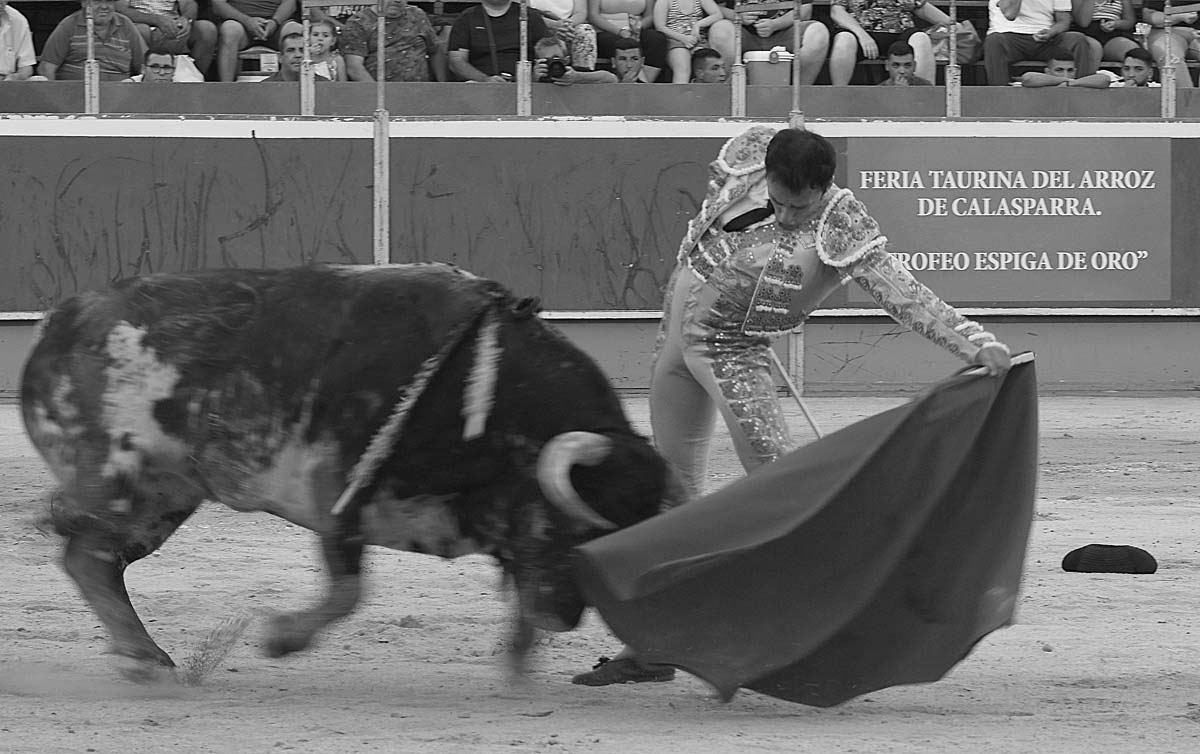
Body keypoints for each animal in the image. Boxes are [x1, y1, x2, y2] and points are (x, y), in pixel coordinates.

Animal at [21, 263, 678, 683]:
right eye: (579, 530)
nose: (565, 619)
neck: (486, 390)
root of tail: (66, 317)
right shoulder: (338, 493)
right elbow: (348, 590)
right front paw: (281, 639)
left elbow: (512, 583)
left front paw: (517, 663)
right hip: (120, 482)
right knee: (86, 552)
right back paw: (144, 660)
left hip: (166, 495)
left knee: (93, 561)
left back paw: (145, 658)